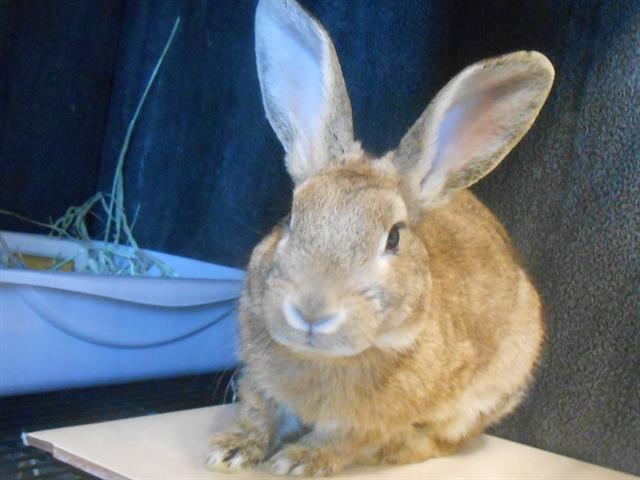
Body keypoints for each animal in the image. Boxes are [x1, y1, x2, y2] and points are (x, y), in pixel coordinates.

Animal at [208, 0, 552, 474]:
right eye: (292, 216)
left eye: (393, 238)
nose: (311, 311)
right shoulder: (259, 384)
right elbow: (259, 414)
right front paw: (231, 450)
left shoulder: (368, 423)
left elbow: (342, 440)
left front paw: (298, 462)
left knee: (445, 439)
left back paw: (397, 450)